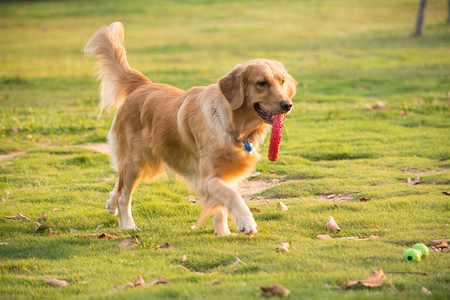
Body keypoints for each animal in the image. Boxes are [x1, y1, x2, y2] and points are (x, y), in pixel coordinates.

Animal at [84, 22, 296, 236]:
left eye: (282, 82)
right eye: (262, 83)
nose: (287, 104)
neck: (231, 126)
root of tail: (143, 85)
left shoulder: (225, 174)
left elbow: (222, 207)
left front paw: (222, 232)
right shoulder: (207, 178)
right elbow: (233, 196)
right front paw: (246, 221)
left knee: (118, 185)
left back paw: (111, 204)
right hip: (135, 161)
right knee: (123, 194)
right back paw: (128, 224)